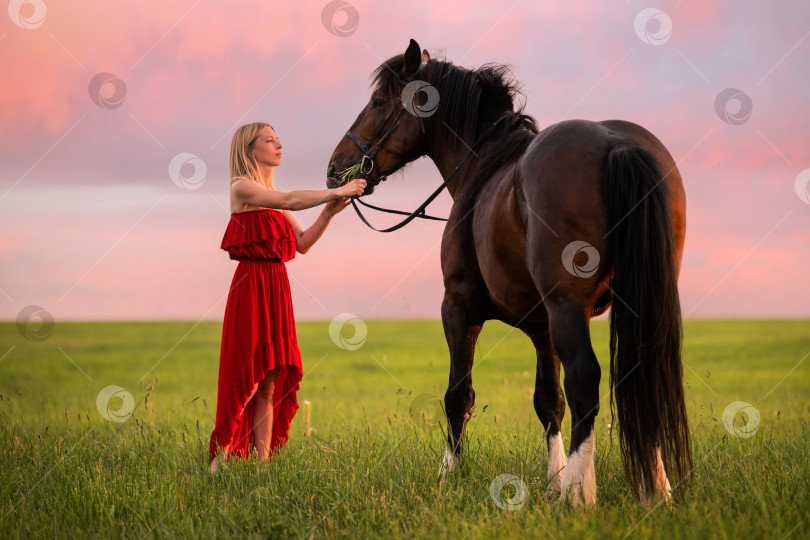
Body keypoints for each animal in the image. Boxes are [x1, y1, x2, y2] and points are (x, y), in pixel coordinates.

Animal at [326, 39, 692, 506]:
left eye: (377, 102)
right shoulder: (541, 328)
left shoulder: (459, 308)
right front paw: (552, 478)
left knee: (585, 380)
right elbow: (549, 401)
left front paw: (449, 474)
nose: (336, 168)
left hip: (567, 306)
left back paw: (580, 493)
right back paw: (655, 488)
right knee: (642, 376)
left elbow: (458, 395)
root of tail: (616, 144)